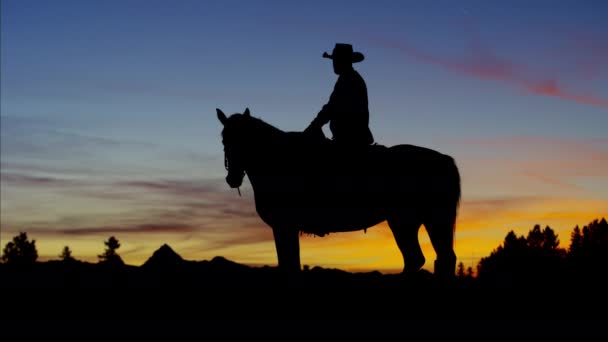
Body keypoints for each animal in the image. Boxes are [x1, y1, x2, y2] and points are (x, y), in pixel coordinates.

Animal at [216, 108, 458, 280]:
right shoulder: (284, 227)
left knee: (425, 259)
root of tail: (444, 159)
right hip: (420, 221)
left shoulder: (285, 225)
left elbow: (290, 265)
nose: (232, 178)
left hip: (412, 221)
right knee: (432, 259)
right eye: (224, 140)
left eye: (245, 139)